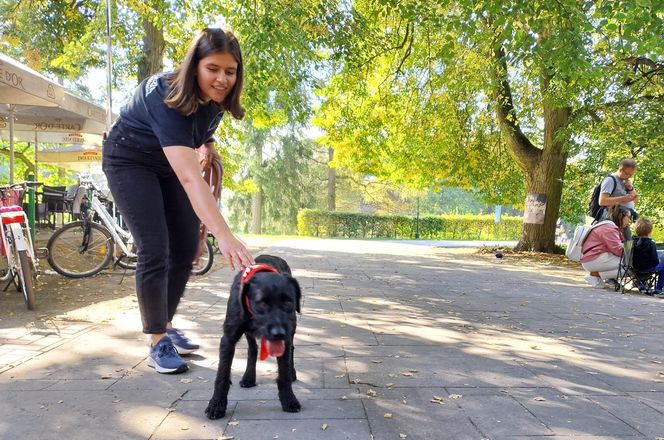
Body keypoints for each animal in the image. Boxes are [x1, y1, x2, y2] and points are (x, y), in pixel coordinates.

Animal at [205, 254, 304, 420]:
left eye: (288, 301)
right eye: (261, 303)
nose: (278, 333)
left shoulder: (286, 334)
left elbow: (283, 373)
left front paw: (289, 399)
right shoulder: (228, 339)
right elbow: (222, 375)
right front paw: (216, 405)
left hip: (291, 327)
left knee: (291, 348)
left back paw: (292, 372)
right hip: (248, 333)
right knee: (252, 349)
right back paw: (249, 377)